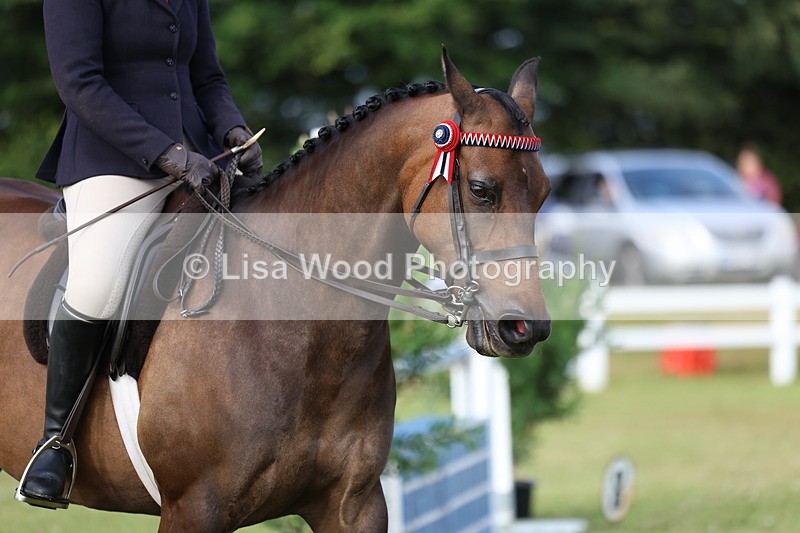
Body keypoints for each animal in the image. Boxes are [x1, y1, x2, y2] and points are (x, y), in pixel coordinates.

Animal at [0, 49, 551, 531]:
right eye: (481, 190)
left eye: (544, 193)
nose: (526, 328)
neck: (293, 317)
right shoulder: (192, 508)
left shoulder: (354, 506)